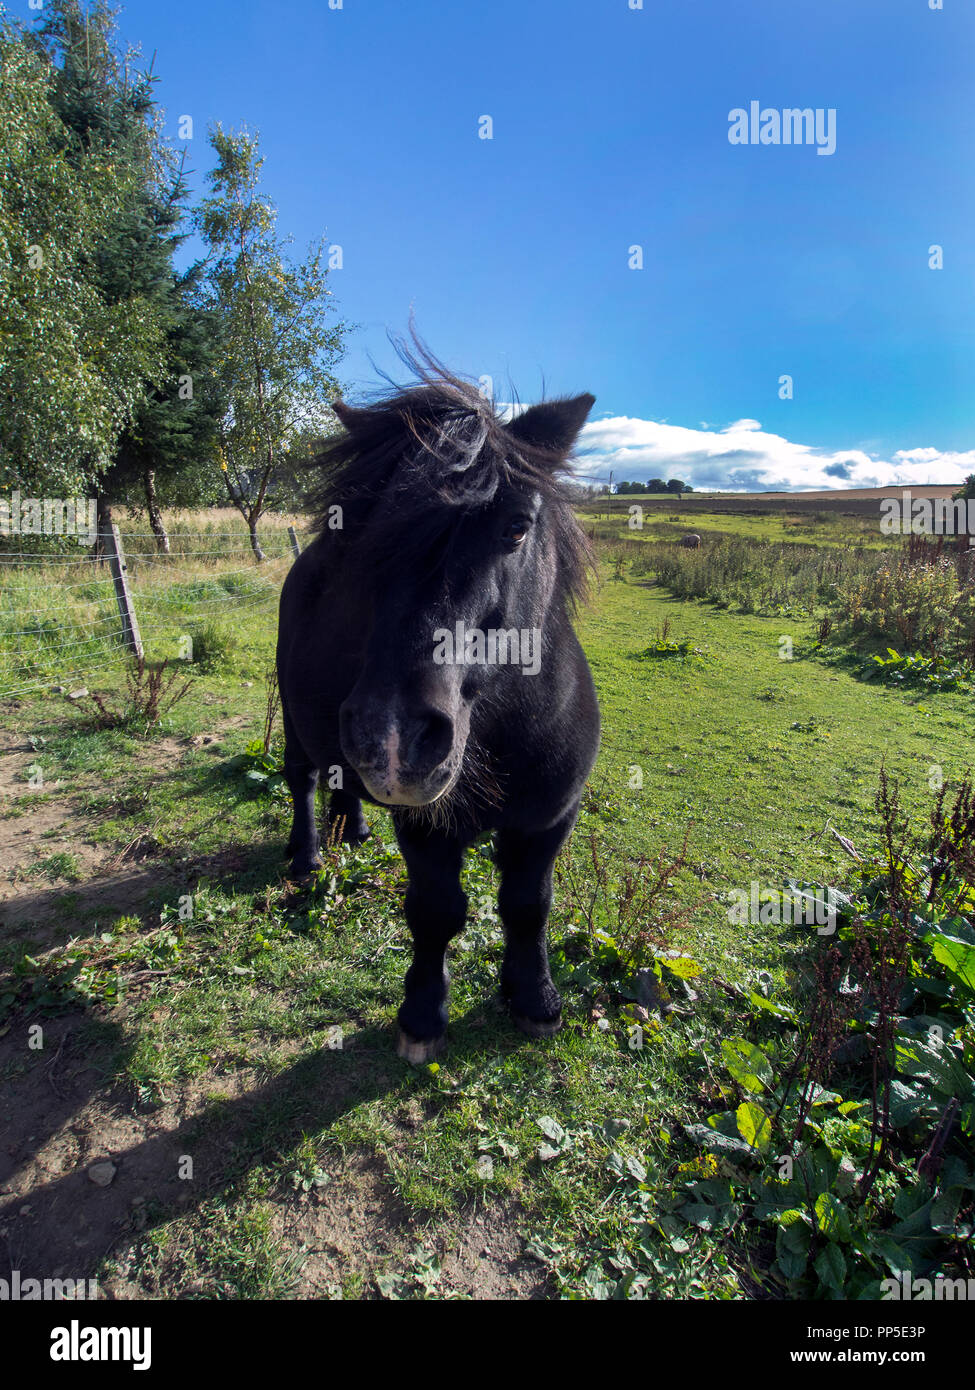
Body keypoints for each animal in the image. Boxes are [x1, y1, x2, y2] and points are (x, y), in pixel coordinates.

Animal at [276, 349, 600, 1062]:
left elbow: (528, 904)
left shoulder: (550, 819)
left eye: (516, 528)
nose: (392, 739)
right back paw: (308, 856)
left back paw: (352, 828)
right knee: (303, 779)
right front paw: (423, 1016)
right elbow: (437, 913)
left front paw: (534, 998)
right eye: (360, 534)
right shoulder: (426, 827)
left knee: (338, 784)